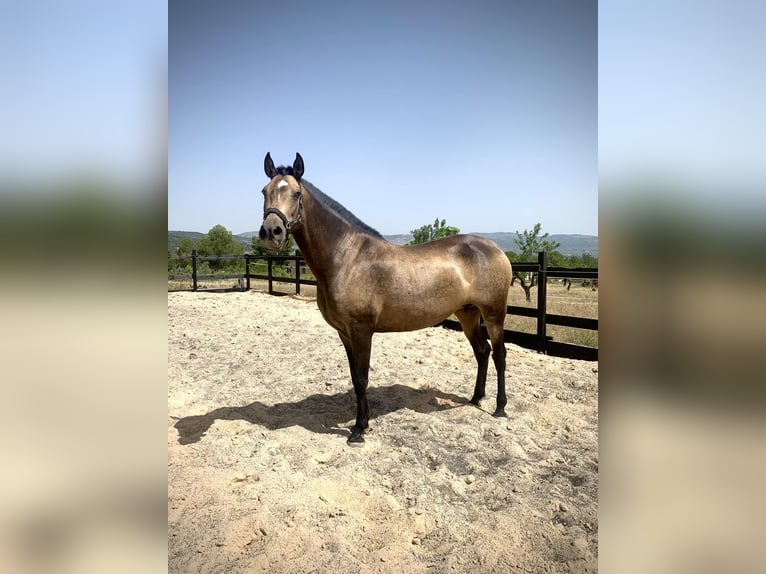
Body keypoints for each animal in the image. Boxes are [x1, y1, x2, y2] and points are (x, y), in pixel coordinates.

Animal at [260, 152, 516, 446]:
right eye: (264, 191)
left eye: (296, 193)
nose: (271, 232)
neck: (347, 258)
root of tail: (494, 248)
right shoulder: (344, 333)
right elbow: (355, 378)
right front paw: (364, 423)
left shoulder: (361, 330)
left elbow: (362, 379)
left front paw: (358, 430)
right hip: (468, 313)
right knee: (482, 352)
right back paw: (475, 399)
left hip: (494, 314)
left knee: (499, 354)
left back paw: (500, 408)